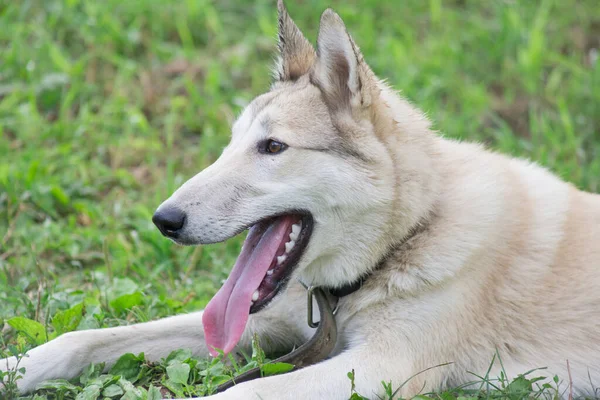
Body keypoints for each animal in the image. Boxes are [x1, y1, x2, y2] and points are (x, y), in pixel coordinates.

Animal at [1, 1, 600, 398]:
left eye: (272, 148)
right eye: (231, 144)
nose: (163, 220)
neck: (412, 232)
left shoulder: (381, 365)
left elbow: (239, 392)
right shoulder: (271, 326)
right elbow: (81, 339)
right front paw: (14, 368)